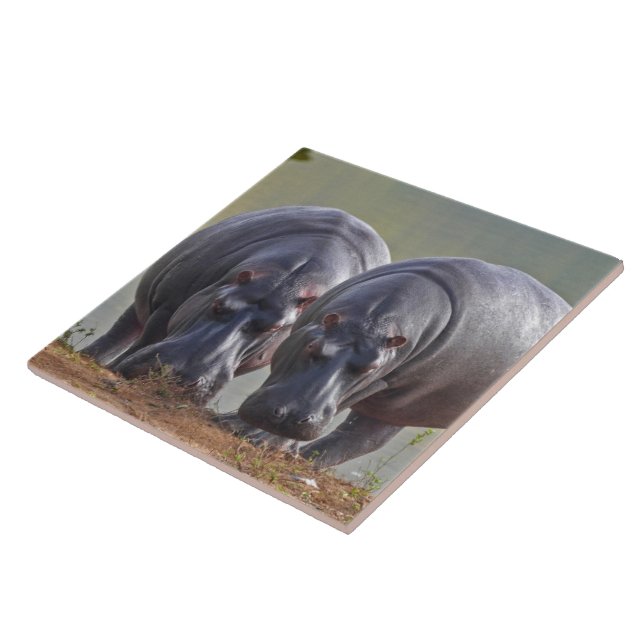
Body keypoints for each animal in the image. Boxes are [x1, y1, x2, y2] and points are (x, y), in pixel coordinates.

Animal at [81, 206, 390, 398]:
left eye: (276, 328)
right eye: (219, 303)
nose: (179, 376)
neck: (286, 282)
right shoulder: (167, 307)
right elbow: (147, 339)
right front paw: (113, 370)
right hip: (144, 303)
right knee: (123, 331)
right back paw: (89, 357)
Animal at [231, 258, 571, 468]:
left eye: (369, 368)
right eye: (313, 345)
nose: (290, 417)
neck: (370, 324)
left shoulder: (382, 380)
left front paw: (252, 436)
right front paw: (237, 426)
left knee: (359, 439)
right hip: (402, 407)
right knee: (362, 438)